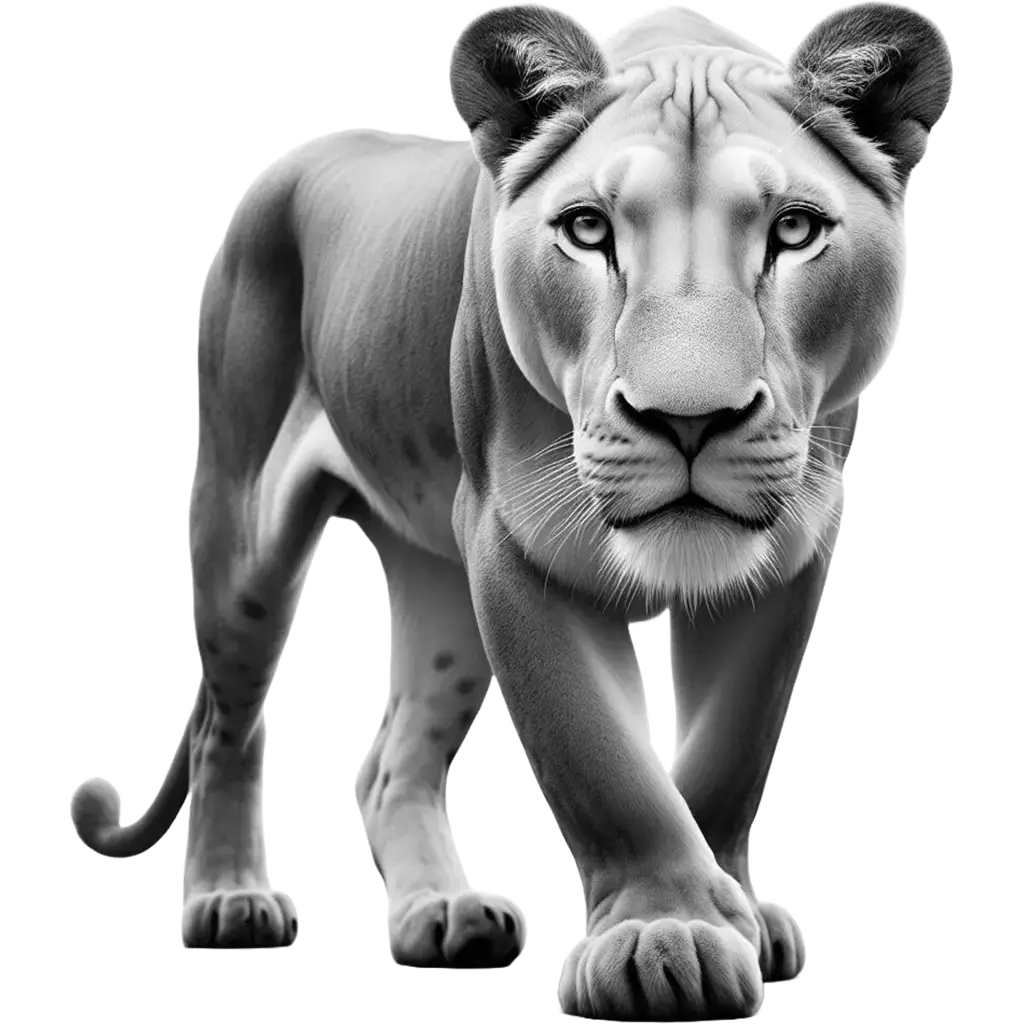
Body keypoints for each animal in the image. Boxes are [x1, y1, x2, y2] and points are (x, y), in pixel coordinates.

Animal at [70, 1, 952, 1018]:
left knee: (390, 761)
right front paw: (664, 935)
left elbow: (727, 754)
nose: (688, 420)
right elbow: (603, 758)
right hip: (242, 525)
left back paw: (442, 916)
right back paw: (227, 902)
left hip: (441, 592)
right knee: (229, 722)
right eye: (588, 229)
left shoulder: (788, 553)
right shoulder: (513, 542)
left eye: (796, 230)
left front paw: (734, 915)